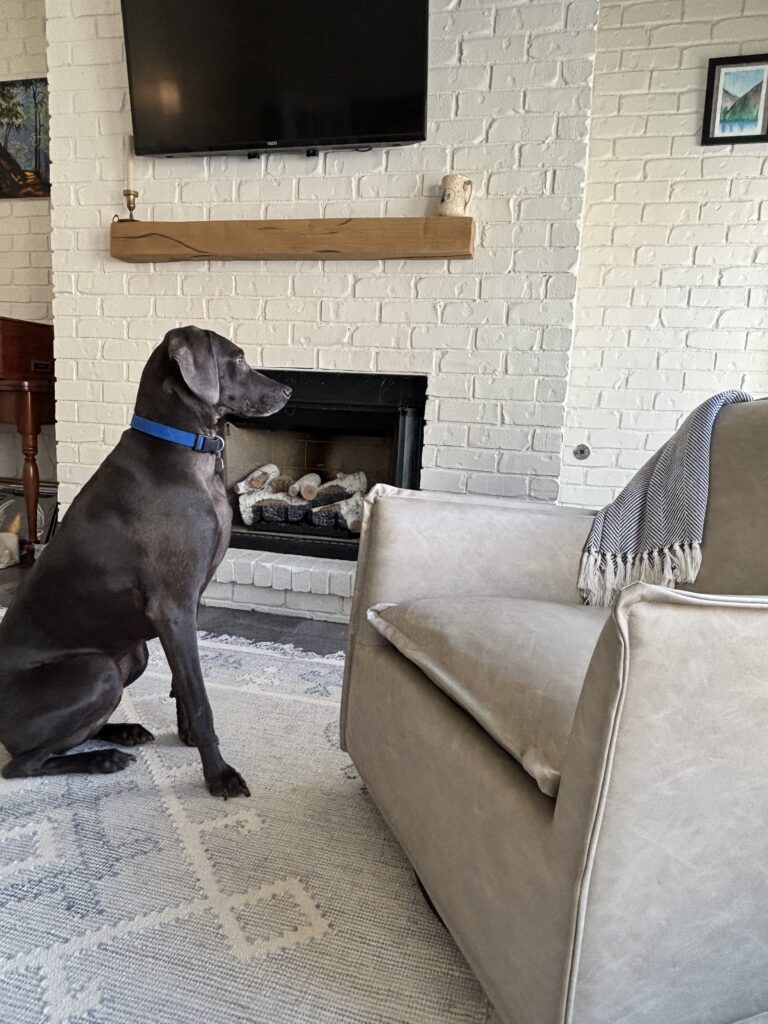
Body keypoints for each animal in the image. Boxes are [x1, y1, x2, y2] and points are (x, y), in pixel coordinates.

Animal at [0, 323, 290, 794]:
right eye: (238, 358)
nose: (287, 390)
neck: (187, 453)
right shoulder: (172, 606)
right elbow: (199, 696)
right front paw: (219, 775)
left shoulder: (189, 603)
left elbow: (182, 685)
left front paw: (187, 736)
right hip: (97, 670)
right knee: (23, 763)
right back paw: (103, 759)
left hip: (132, 656)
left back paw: (123, 731)